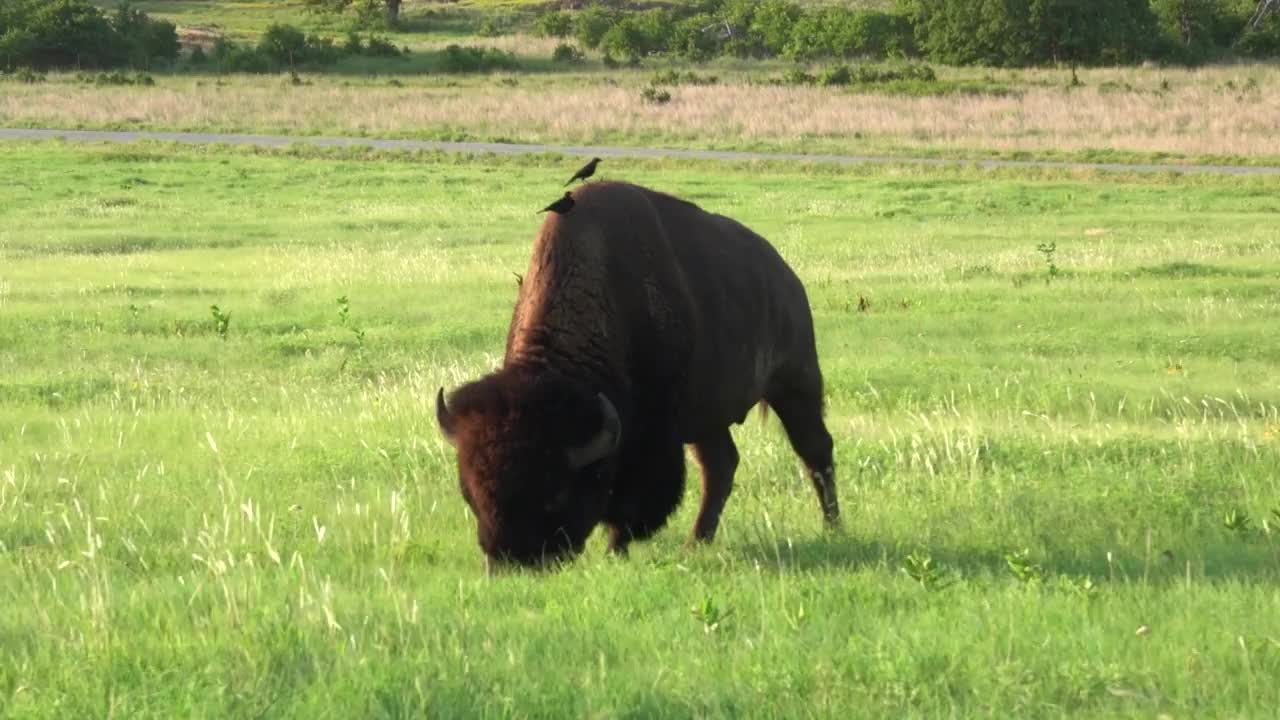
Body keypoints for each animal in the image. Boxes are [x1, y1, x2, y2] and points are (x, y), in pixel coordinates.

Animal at [437, 181, 839, 568]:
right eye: (470, 492)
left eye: (556, 493)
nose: (509, 560)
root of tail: (788, 279)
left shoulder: (652, 439)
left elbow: (631, 504)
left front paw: (616, 551)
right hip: (708, 418)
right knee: (721, 466)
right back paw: (696, 542)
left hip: (795, 383)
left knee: (815, 451)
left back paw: (833, 527)